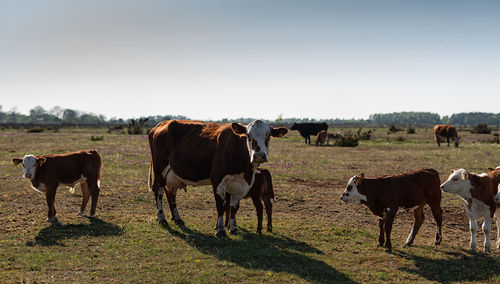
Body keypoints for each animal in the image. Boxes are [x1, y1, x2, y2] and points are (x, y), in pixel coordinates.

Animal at [148, 118, 288, 236]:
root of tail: (161, 124)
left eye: (268, 136)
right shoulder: (218, 180)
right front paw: (220, 230)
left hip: (173, 175)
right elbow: (221, 206)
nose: (259, 155)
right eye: (248, 136)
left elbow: (234, 208)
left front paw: (233, 229)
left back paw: (177, 218)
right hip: (159, 169)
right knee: (158, 191)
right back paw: (162, 219)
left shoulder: (240, 186)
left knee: (170, 194)